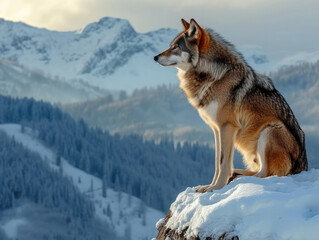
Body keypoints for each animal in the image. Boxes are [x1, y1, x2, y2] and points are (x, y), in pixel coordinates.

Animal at [154, 17, 308, 192]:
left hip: (270, 130)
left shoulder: (227, 126)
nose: (155, 57)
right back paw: (236, 174)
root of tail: (303, 169)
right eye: (170, 45)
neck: (215, 75)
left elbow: (223, 163)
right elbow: (217, 162)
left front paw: (217, 187)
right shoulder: (216, 129)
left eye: (175, 47)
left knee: (266, 174)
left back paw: (237, 176)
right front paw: (209, 186)